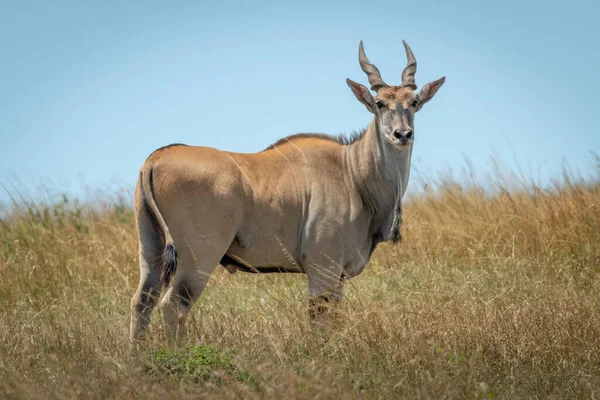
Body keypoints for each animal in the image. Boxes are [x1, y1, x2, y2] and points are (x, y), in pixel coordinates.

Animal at [129, 39, 442, 340]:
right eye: (379, 103)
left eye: (414, 102)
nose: (403, 134)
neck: (353, 173)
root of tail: (154, 159)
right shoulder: (323, 269)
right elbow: (320, 322)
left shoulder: (337, 276)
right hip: (199, 256)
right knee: (173, 304)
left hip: (151, 249)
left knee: (142, 301)